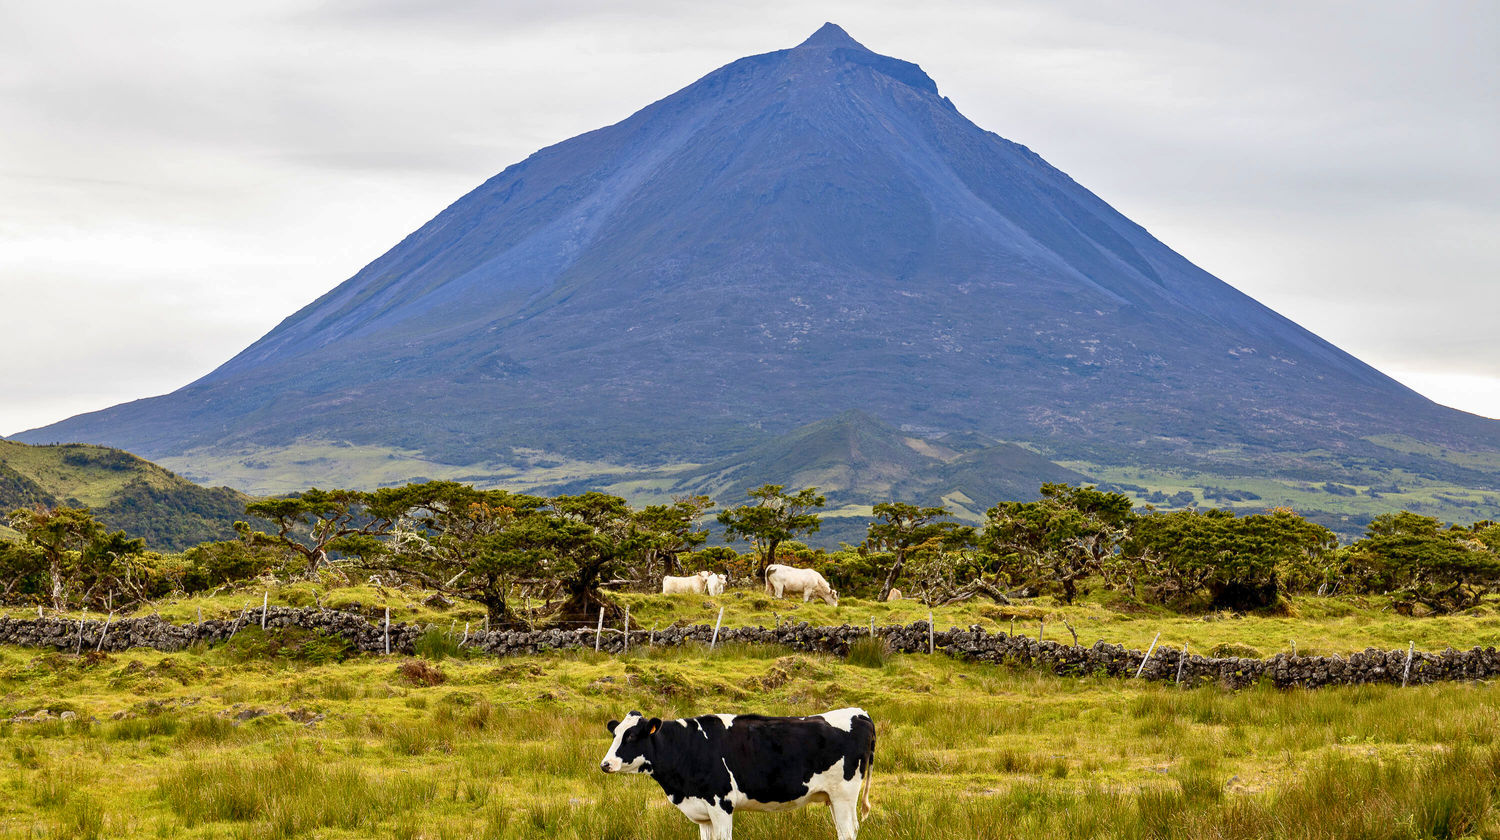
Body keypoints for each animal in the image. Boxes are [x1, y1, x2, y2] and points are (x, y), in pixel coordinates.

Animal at [603, 708, 876, 840]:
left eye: (631, 736)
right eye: (615, 733)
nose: (605, 764)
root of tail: (860, 713)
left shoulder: (721, 804)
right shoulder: (703, 814)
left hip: (844, 795)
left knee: (848, 832)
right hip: (833, 798)